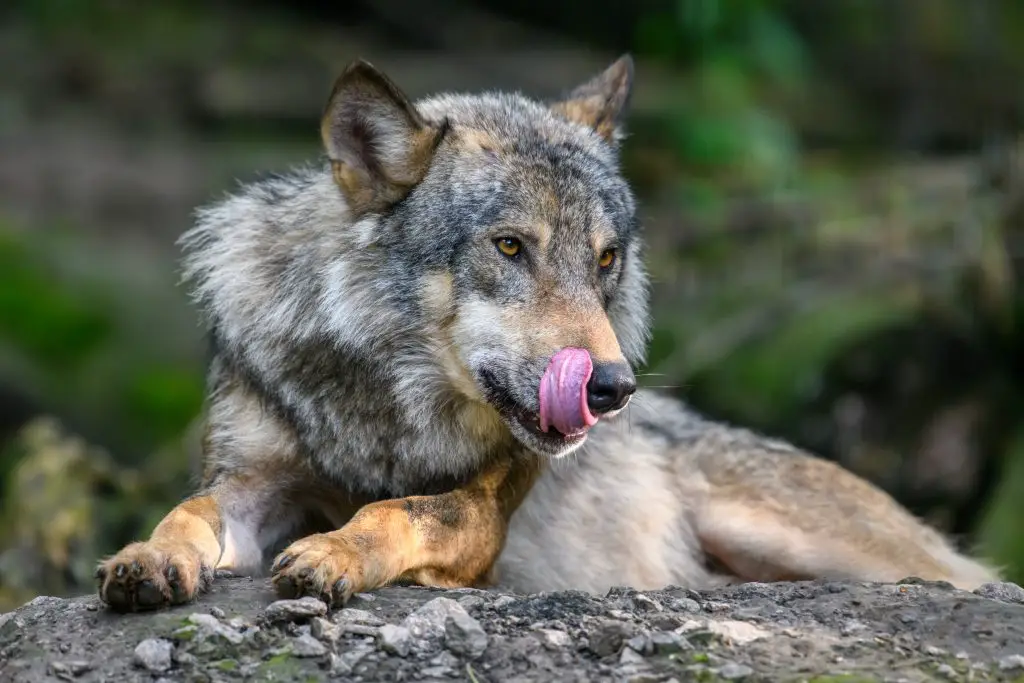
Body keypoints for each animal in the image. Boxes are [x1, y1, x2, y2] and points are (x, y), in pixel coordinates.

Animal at [94, 52, 991, 610]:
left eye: (605, 259)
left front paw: (334, 553)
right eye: (510, 247)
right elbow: (190, 510)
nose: (613, 387)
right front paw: (150, 556)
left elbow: (398, 512)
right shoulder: (252, 478)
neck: (384, 411)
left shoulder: (483, 512)